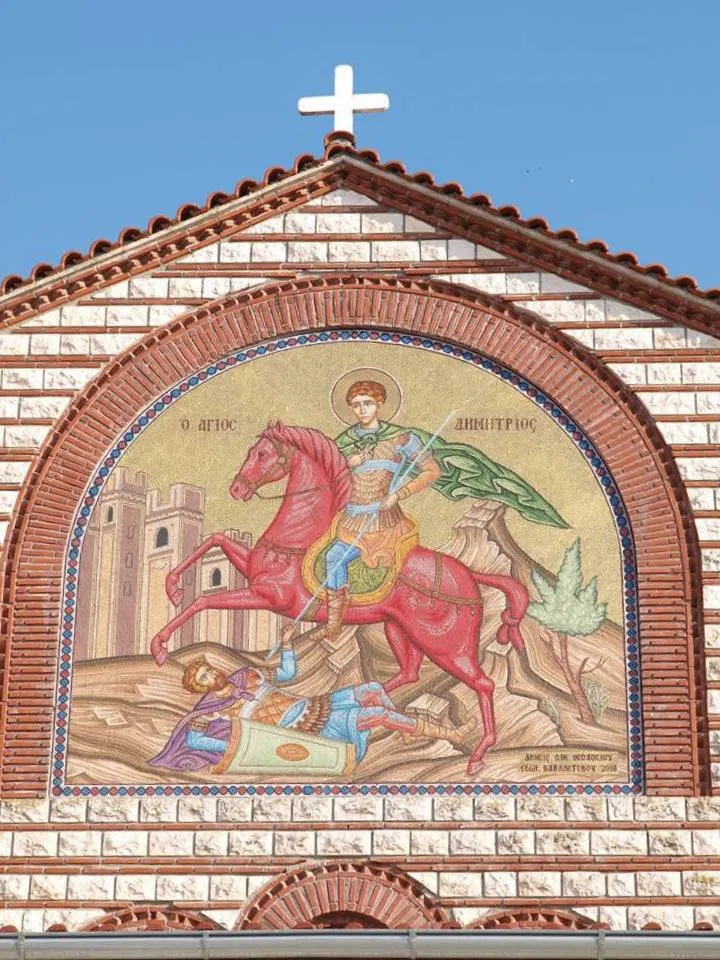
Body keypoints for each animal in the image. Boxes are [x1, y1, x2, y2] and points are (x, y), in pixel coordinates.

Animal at [150, 424, 528, 776]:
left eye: (262, 453)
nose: (238, 489)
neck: (297, 538)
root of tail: (469, 574)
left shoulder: (266, 595)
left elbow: (202, 601)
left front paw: (159, 645)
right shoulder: (253, 576)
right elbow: (214, 540)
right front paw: (172, 587)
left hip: (448, 647)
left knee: (483, 683)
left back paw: (477, 754)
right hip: (397, 629)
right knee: (407, 673)